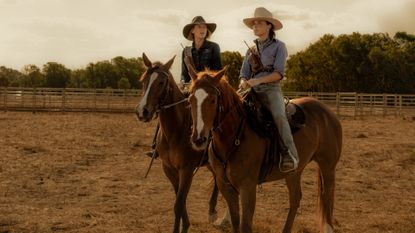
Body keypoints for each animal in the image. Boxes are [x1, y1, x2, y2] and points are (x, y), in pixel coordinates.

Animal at [136, 52, 221, 233]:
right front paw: (185, 224)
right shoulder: (169, 169)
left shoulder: (186, 170)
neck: (175, 131)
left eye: (161, 82)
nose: (142, 112)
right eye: (143, 80)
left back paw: (213, 212)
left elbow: (179, 204)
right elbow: (179, 201)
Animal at [187, 67, 342, 233]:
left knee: (327, 195)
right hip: (294, 172)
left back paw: (328, 228)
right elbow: (235, 223)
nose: (198, 139)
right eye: (190, 100)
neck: (235, 136)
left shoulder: (248, 188)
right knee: (295, 199)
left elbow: (245, 225)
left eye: (213, 100)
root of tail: (327, 111)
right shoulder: (226, 186)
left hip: (328, 166)